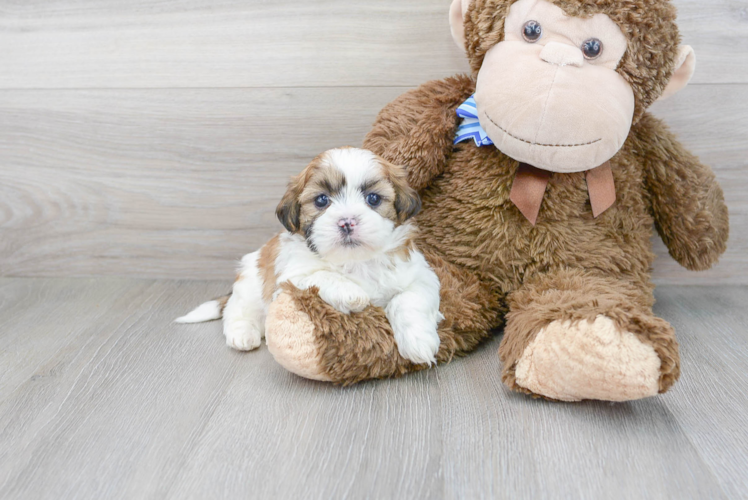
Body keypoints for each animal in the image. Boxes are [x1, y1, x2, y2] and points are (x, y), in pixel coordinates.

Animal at [177, 146, 444, 366]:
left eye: (373, 198)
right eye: (322, 200)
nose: (346, 222)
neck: (354, 260)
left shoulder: (420, 275)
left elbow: (408, 300)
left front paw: (419, 343)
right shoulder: (291, 276)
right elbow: (322, 274)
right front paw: (351, 293)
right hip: (250, 285)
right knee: (236, 310)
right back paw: (242, 334)